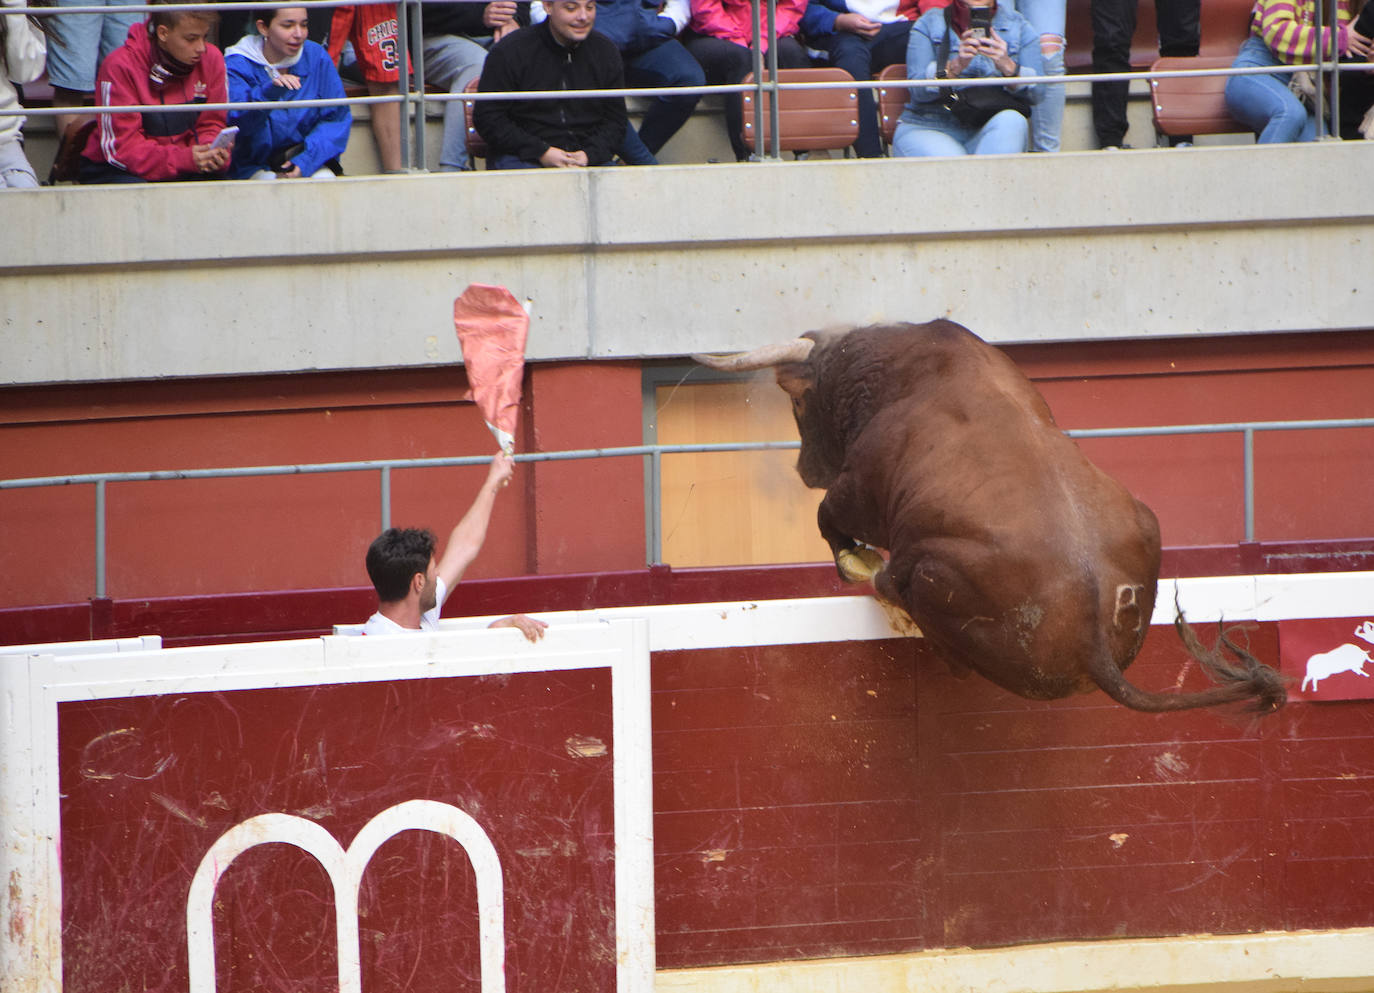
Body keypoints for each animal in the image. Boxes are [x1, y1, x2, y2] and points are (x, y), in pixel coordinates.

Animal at [697, 320, 1286, 714]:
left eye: (799, 406)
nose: (804, 469)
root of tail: (1094, 635)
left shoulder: (855, 488)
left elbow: (830, 522)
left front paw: (854, 563)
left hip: (931, 569)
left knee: (917, 607)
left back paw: (881, 583)